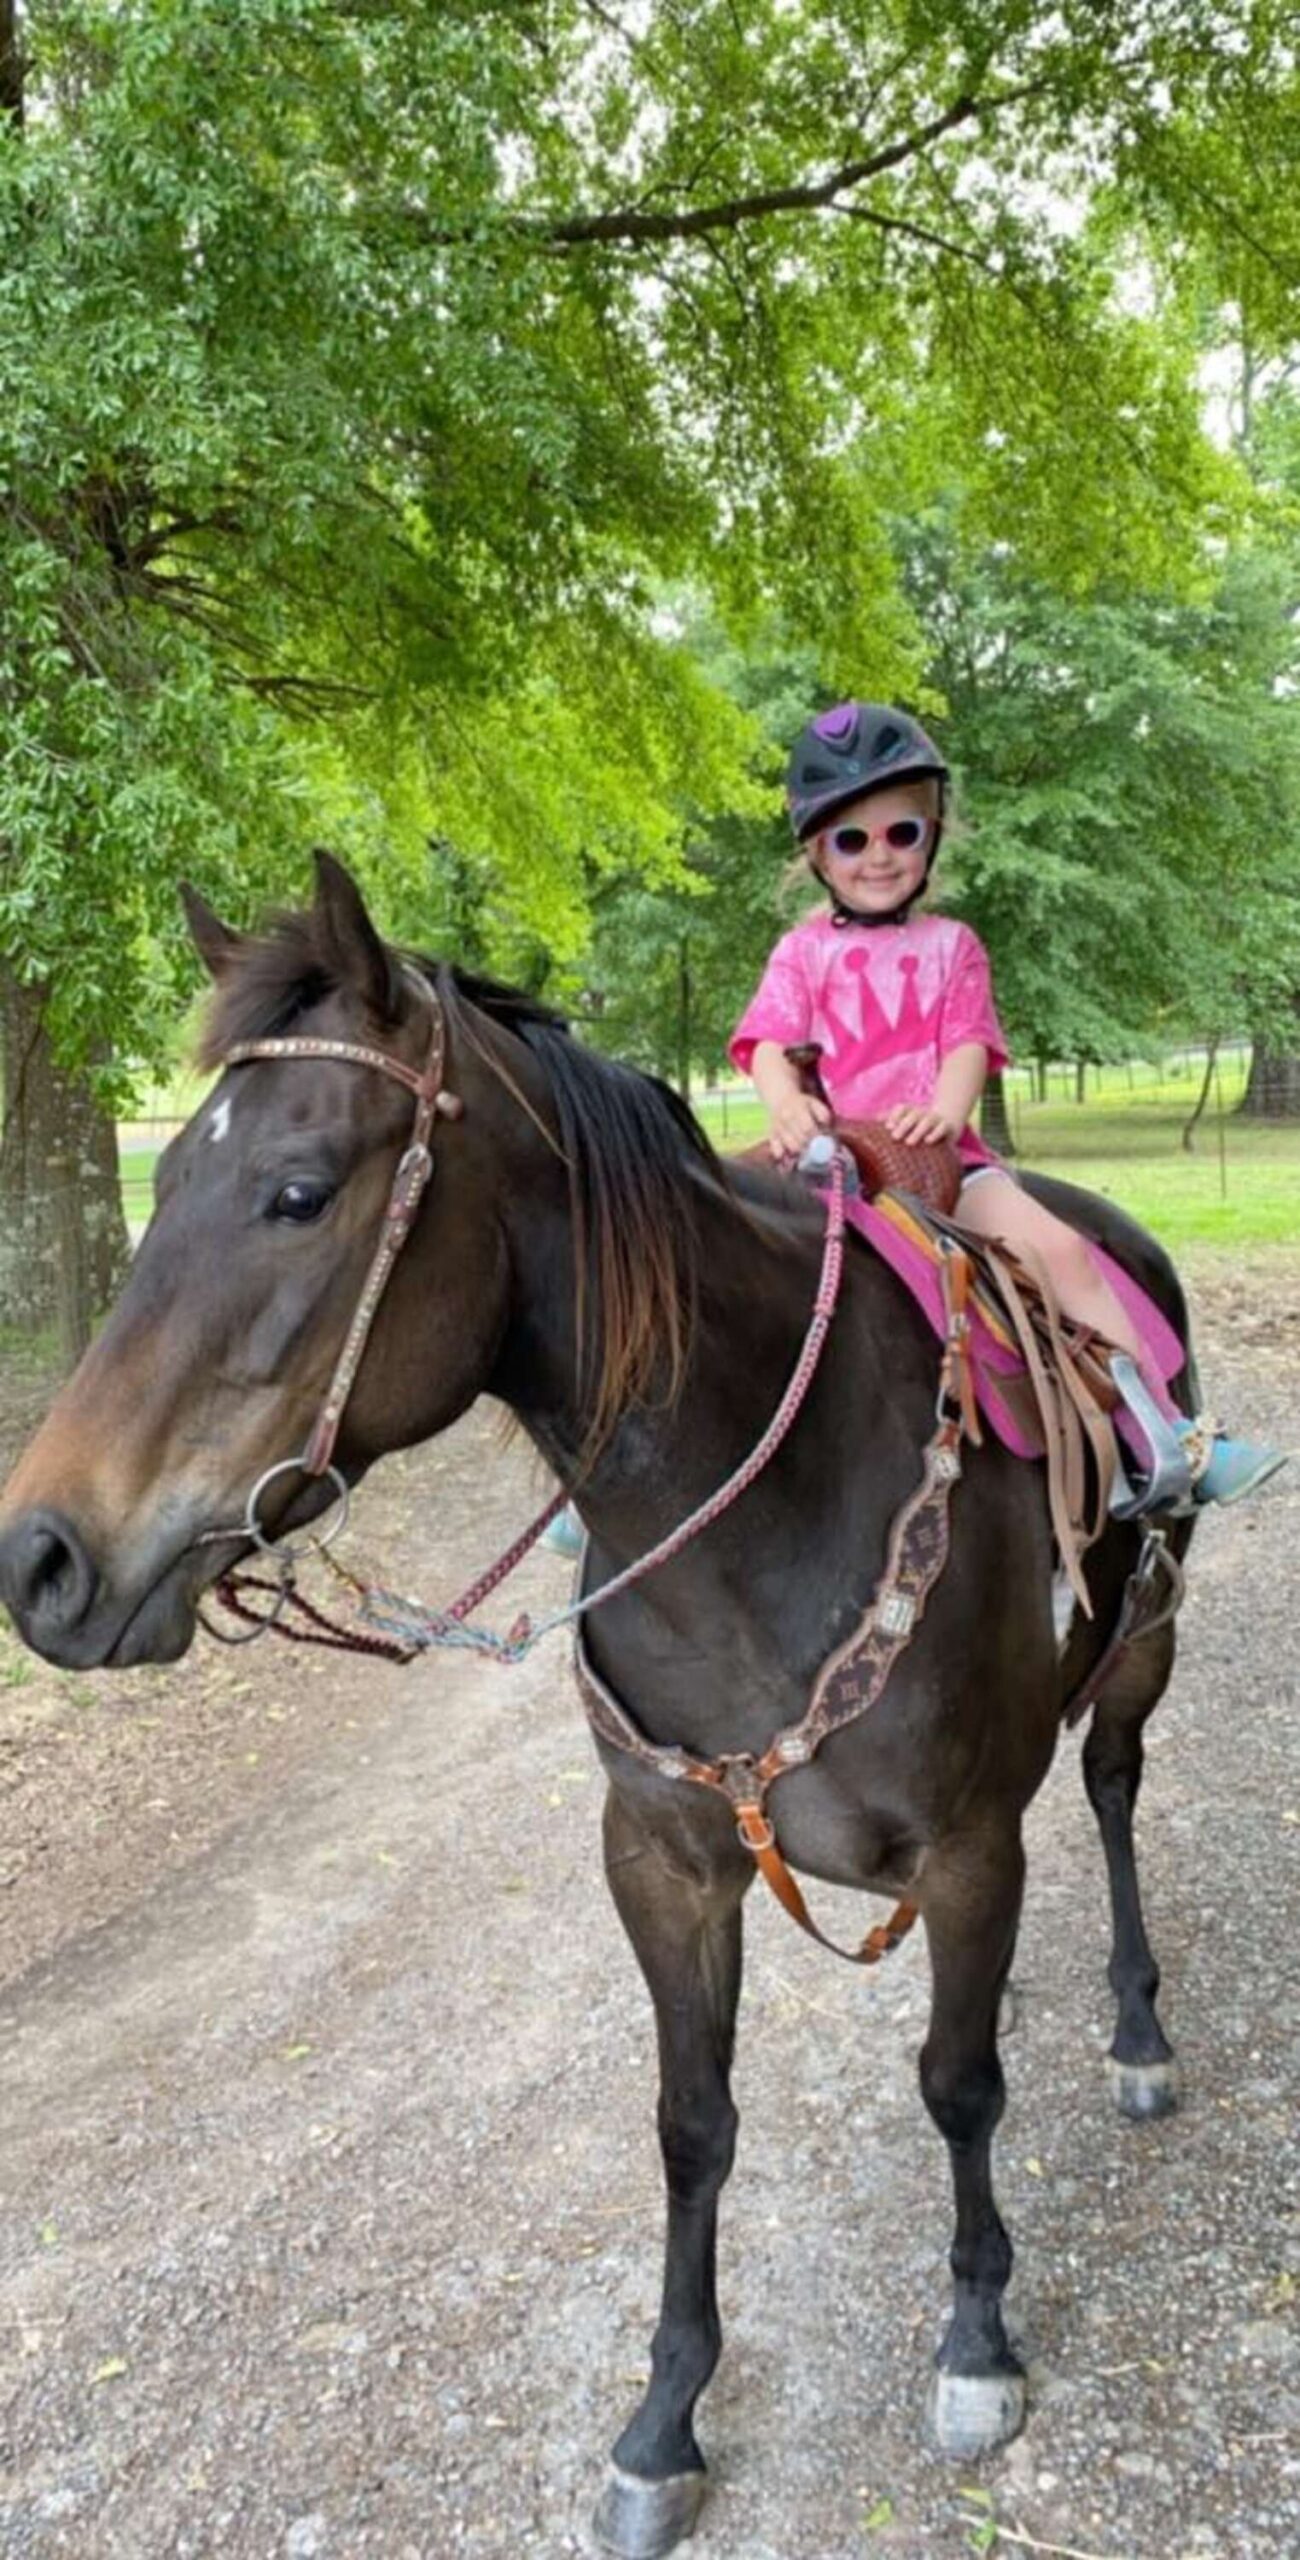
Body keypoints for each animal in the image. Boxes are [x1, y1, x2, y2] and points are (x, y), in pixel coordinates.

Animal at [0, 865, 1197, 2560]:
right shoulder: (664, 1862)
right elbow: (692, 2124)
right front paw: (662, 2423)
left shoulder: (969, 1847)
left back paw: (1137, 2024)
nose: (40, 1559)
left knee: (1110, 1793)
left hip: (1139, 1652)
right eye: (161, 1186)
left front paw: (976, 2342)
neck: (774, 1500)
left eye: (298, 1192)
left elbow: (958, 2090)